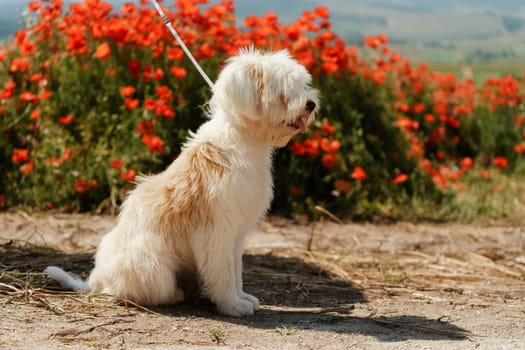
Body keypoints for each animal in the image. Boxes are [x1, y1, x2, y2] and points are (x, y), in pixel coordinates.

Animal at [46, 47, 320, 318]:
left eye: (303, 85)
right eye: (284, 92)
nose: (311, 104)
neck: (243, 141)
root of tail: (94, 279)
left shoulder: (236, 234)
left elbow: (236, 270)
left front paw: (243, 297)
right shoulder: (217, 232)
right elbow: (224, 273)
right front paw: (233, 305)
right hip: (154, 266)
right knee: (130, 291)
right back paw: (175, 295)